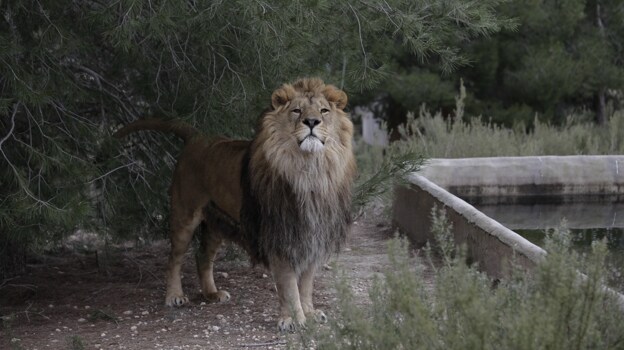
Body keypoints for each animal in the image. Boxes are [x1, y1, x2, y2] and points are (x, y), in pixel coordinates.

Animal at [113, 77, 356, 330]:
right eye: (297, 111)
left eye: (324, 111)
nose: (311, 122)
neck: (310, 170)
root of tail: (198, 136)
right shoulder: (279, 237)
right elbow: (289, 286)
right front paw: (292, 319)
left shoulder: (312, 236)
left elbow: (306, 284)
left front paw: (309, 313)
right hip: (184, 216)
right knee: (174, 259)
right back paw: (174, 296)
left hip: (216, 224)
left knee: (202, 257)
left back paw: (212, 294)